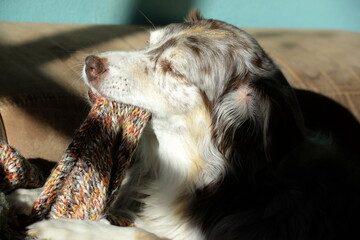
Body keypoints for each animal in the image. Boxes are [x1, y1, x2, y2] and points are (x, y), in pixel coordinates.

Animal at [11, 9, 360, 240]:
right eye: (148, 43)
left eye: (173, 69)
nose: (91, 63)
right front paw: (28, 194)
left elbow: (141, 234)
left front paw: (67, 226)